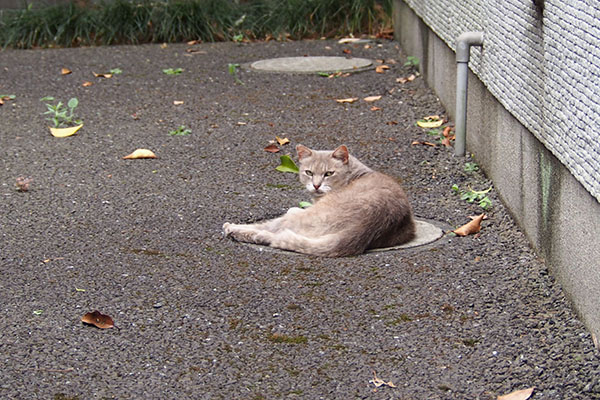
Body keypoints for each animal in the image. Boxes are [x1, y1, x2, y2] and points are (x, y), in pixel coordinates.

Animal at [223, 144, 414, 256]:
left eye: (329, 173)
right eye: (308, 172)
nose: (316, 185)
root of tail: (367, 226)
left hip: (300, 219)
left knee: (268, 230)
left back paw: (233, 229)